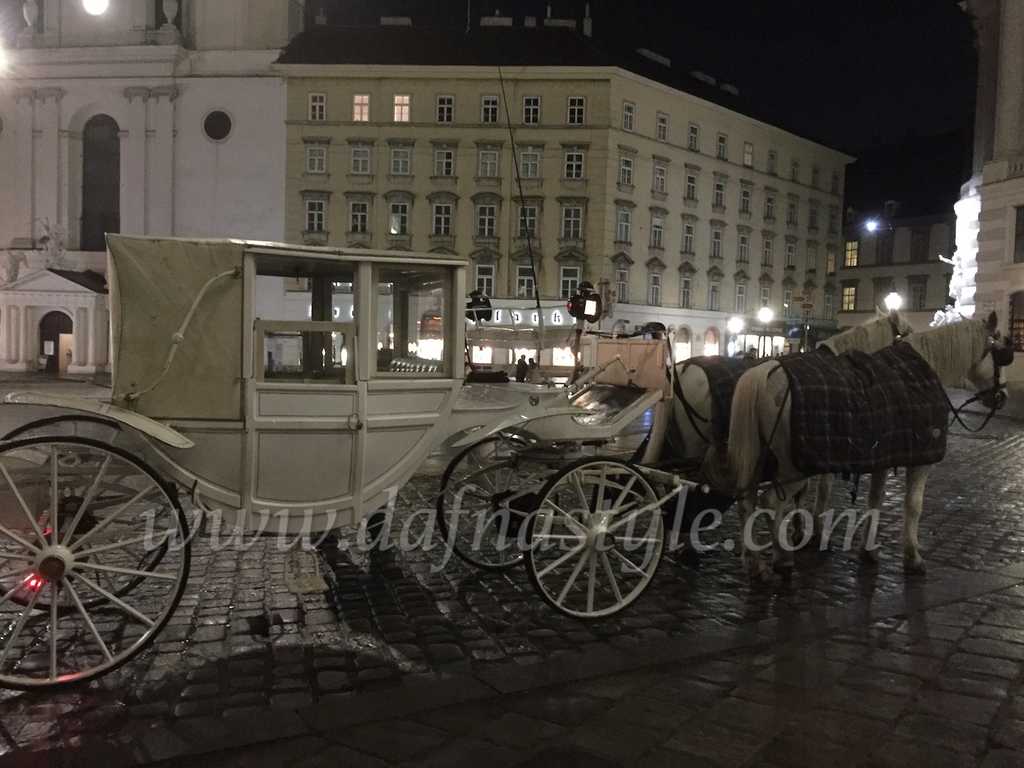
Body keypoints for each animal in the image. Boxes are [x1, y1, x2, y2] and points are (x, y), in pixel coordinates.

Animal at [729, 309, 1007, 581]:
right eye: (1003, 353)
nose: (1002, 396)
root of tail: (764, 373)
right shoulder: (921, 460)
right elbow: (913, 506)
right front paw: (913, 557)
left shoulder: (882, 456)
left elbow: (874, 499)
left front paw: (867, 549)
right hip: (793, 467)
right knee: (771, 502)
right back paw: (781, 558)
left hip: (759, 458)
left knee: (747, 501)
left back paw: (755, 561)